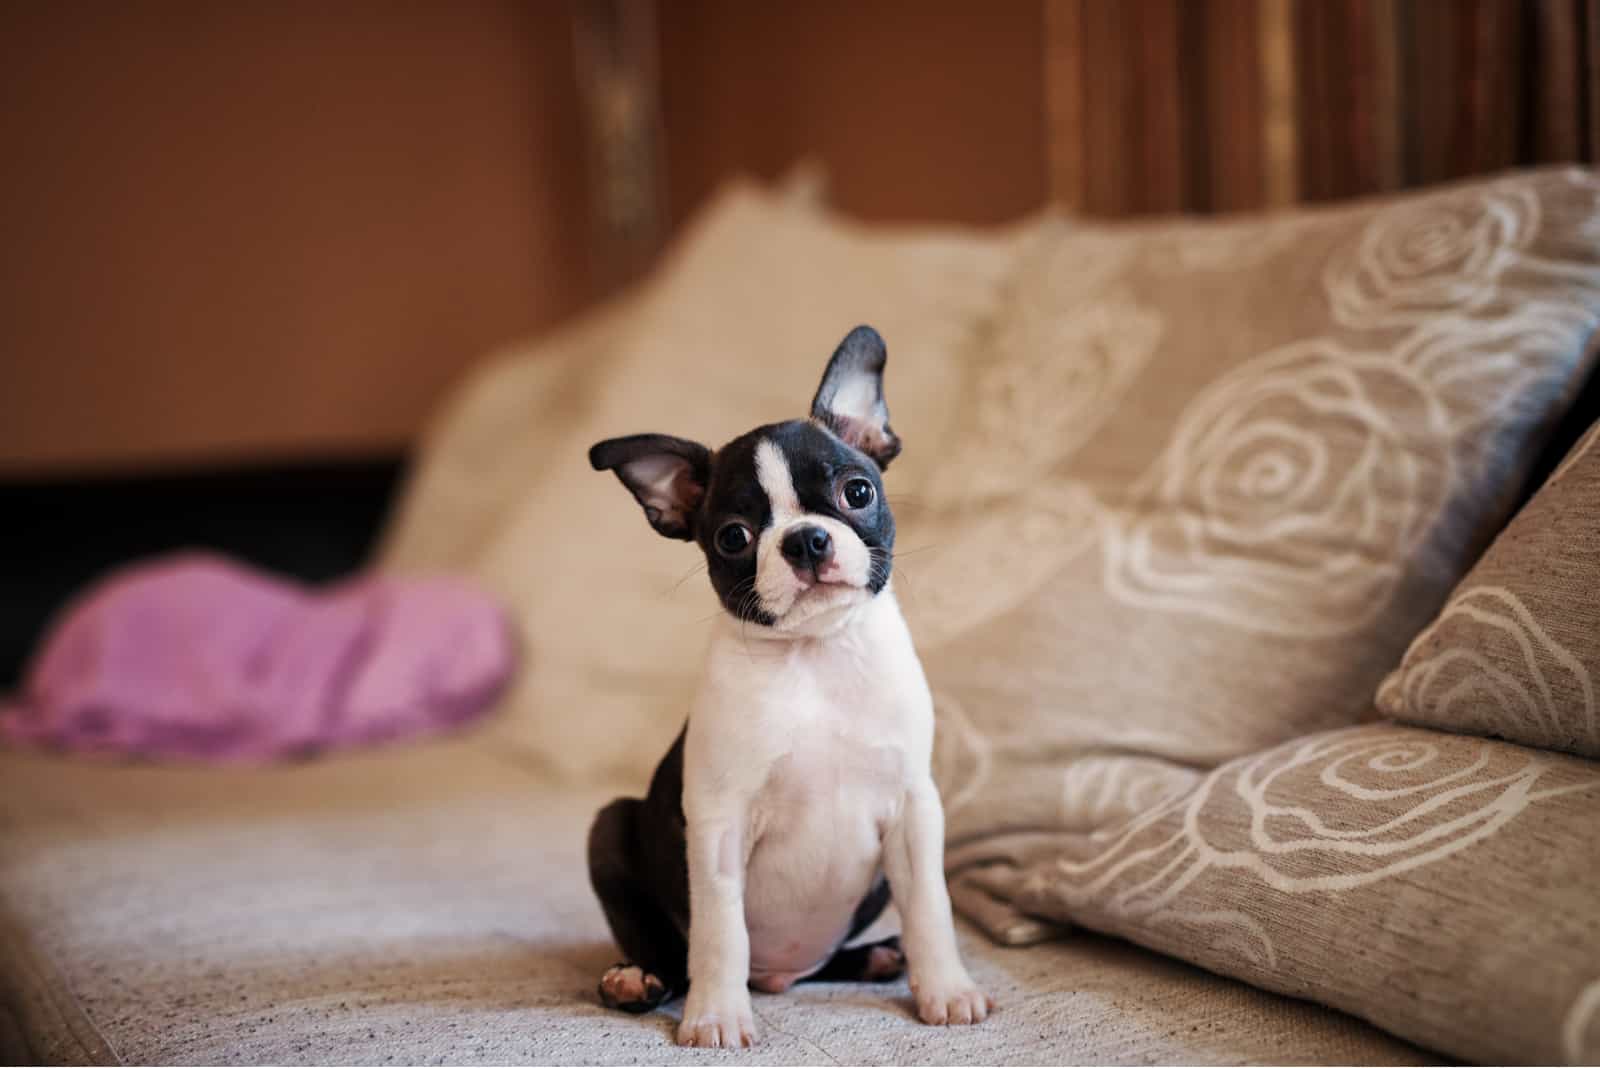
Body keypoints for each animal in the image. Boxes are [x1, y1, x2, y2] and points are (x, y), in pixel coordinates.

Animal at [588, 322, 985, 1042]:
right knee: (670, 950)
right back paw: (636, 977)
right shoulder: (718, 822)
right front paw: (716, 1016)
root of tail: (780, 978)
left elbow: (931, 908)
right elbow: (720, 929)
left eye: (858, 492)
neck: (816, 654)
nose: (804, 540)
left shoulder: (914, 808)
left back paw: (878, 957)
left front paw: (945, 988)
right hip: (609, 828)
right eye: (734, 537)